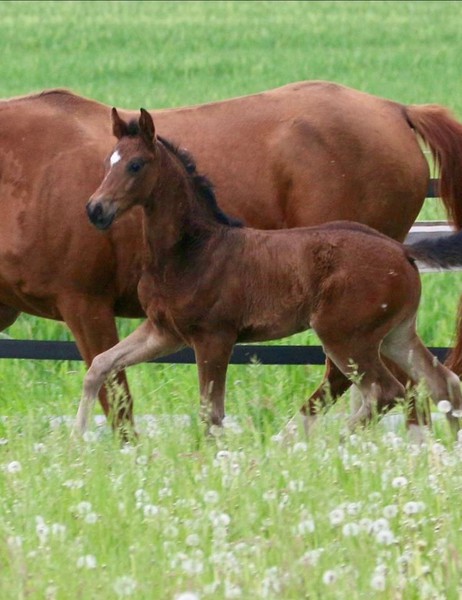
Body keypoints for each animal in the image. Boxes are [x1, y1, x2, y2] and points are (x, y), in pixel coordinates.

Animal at [2, 81, 462, 432]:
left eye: (134, 166)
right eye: (105, 163)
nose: (95, 210)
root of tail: (397, 109)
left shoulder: (88, 304)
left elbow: (124, 400)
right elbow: (104, 373)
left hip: (344, 329)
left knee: (374, 386)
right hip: (384, 329)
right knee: (424, 384)